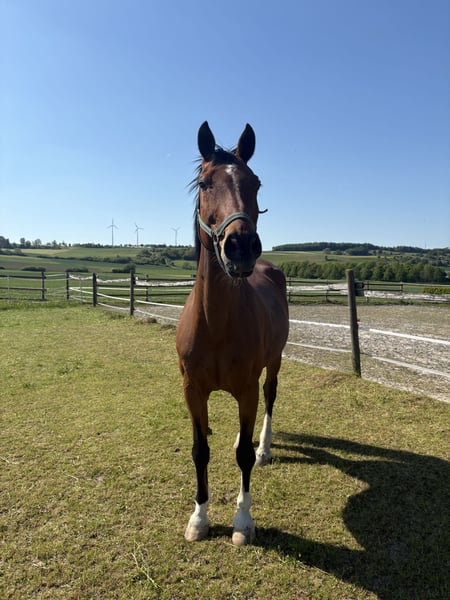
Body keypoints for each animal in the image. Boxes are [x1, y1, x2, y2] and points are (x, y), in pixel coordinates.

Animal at [176, 121, 289, 546]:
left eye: (255, 182)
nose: (240, 245)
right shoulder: (192, 389)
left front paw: (243, 521)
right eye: (205, 183)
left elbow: (242, 459)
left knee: (270, 398)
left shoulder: (246, 389)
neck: (216, 323)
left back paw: (264, 447)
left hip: (274, 363)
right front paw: (199, 518)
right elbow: (200, 451)